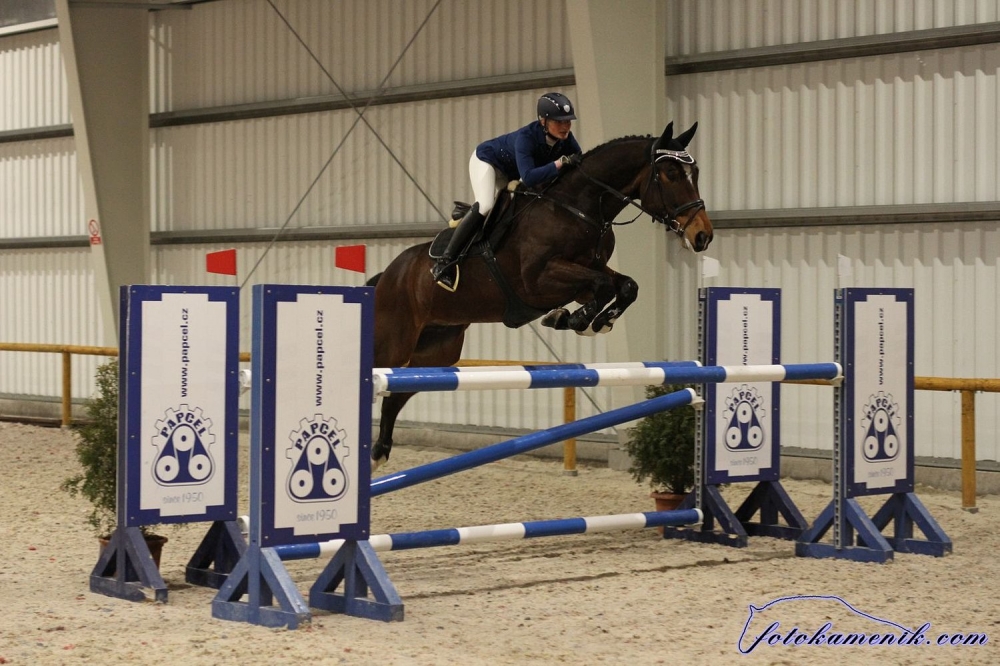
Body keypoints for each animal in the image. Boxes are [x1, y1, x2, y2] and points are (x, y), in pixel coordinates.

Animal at [368, 121, 714, 469]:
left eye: (696, 171)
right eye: (670, 173)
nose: (703, 236)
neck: (580, 208)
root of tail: (388, 275)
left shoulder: (588, 272)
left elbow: (625, 286)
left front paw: (589, 321)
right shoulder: (538, 280)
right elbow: (603, 286)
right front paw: (575, 320)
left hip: (438, 349)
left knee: (397, 394)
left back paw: (379, 453)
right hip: (393, 341)